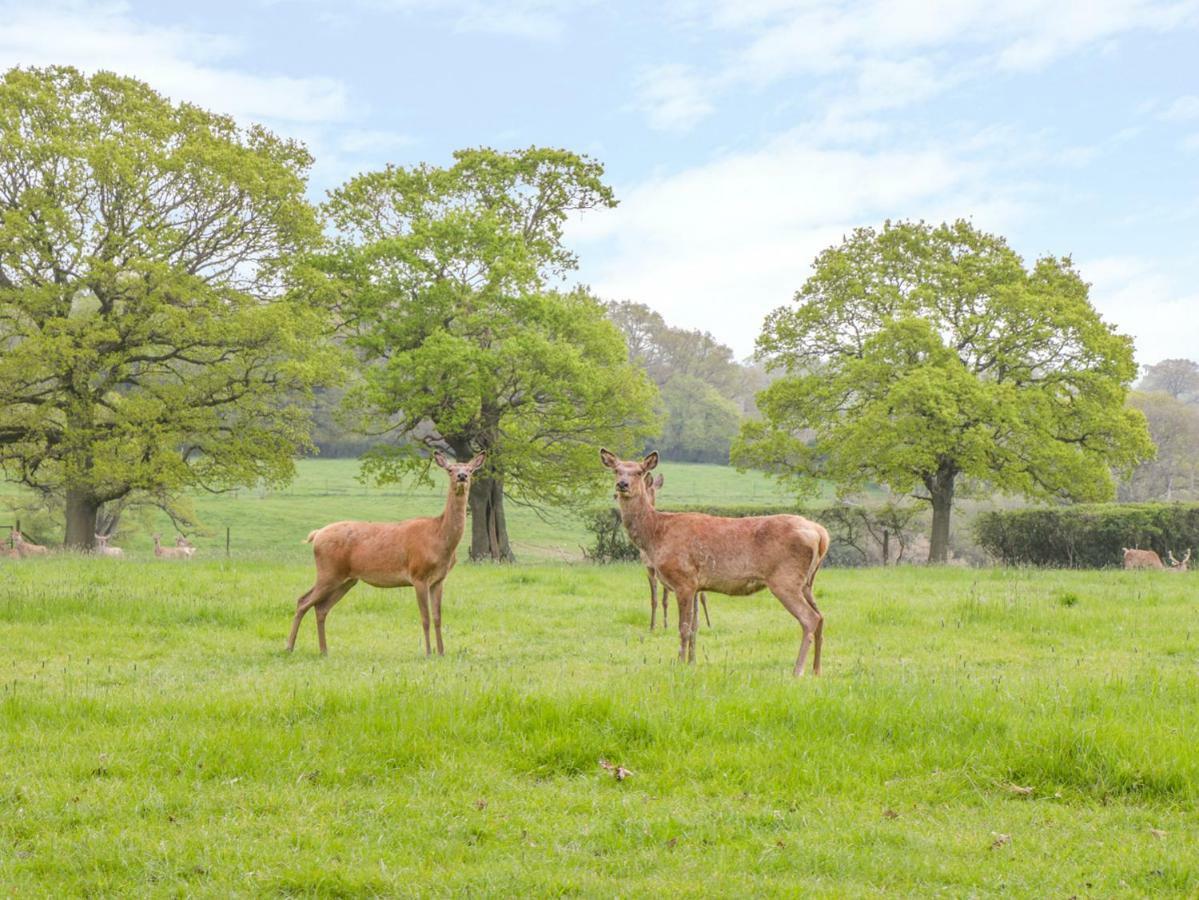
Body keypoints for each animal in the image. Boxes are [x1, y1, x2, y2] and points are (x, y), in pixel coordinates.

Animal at [282, 450, 484, 656]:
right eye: (450, 469)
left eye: (470, 470)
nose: (462, 476)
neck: (440, 538)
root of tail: (316, 535)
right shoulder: (418, 575)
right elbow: (425, 618)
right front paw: (428, 653)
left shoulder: (439, 580)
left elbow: (437, 617)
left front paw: (442, 652)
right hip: (328, 571)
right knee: (303, 601)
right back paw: (289, 646)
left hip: (347, 579)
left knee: (321, 607)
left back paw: (324, 650)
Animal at [642, 472, 705, 632]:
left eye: (652, 491)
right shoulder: (649, 568)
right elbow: (654, 599)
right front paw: (652, 626)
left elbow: (664, 600)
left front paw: (665, 625)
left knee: (700, 597)